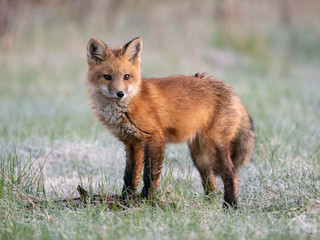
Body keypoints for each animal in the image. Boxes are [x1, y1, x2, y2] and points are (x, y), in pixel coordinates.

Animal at [85, 36, 255, 207]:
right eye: (107, 77)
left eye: (126, 76)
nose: (120, 93)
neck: (127, 106)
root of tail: (232, 92)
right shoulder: (132, 142)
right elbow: (130, 176)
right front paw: (125, 201)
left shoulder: (154, 138)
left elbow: (150, 175)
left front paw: (147, 201)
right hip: (199, 155)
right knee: (210, 182)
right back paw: (209, 204)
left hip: (214, 145)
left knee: (231, 174)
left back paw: (230, 206)